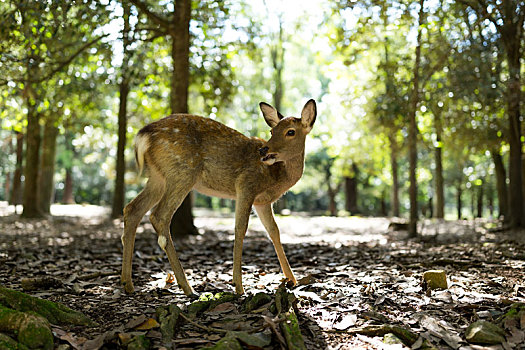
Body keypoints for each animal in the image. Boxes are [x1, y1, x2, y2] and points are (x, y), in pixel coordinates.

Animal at [121, 100, 318, 296]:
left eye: (290, 131)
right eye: (272, 131)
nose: (264, 150)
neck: (277, 176)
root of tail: (143, 135)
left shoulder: (262, 202)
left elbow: (274, 231)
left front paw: (292, 280)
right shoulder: (246, 184)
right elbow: (240, 228)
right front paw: (239, 286)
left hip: (158, 176)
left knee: (132, 209)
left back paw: (127, 283)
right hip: (182, 171)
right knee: (159, 215)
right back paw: (188, 288)